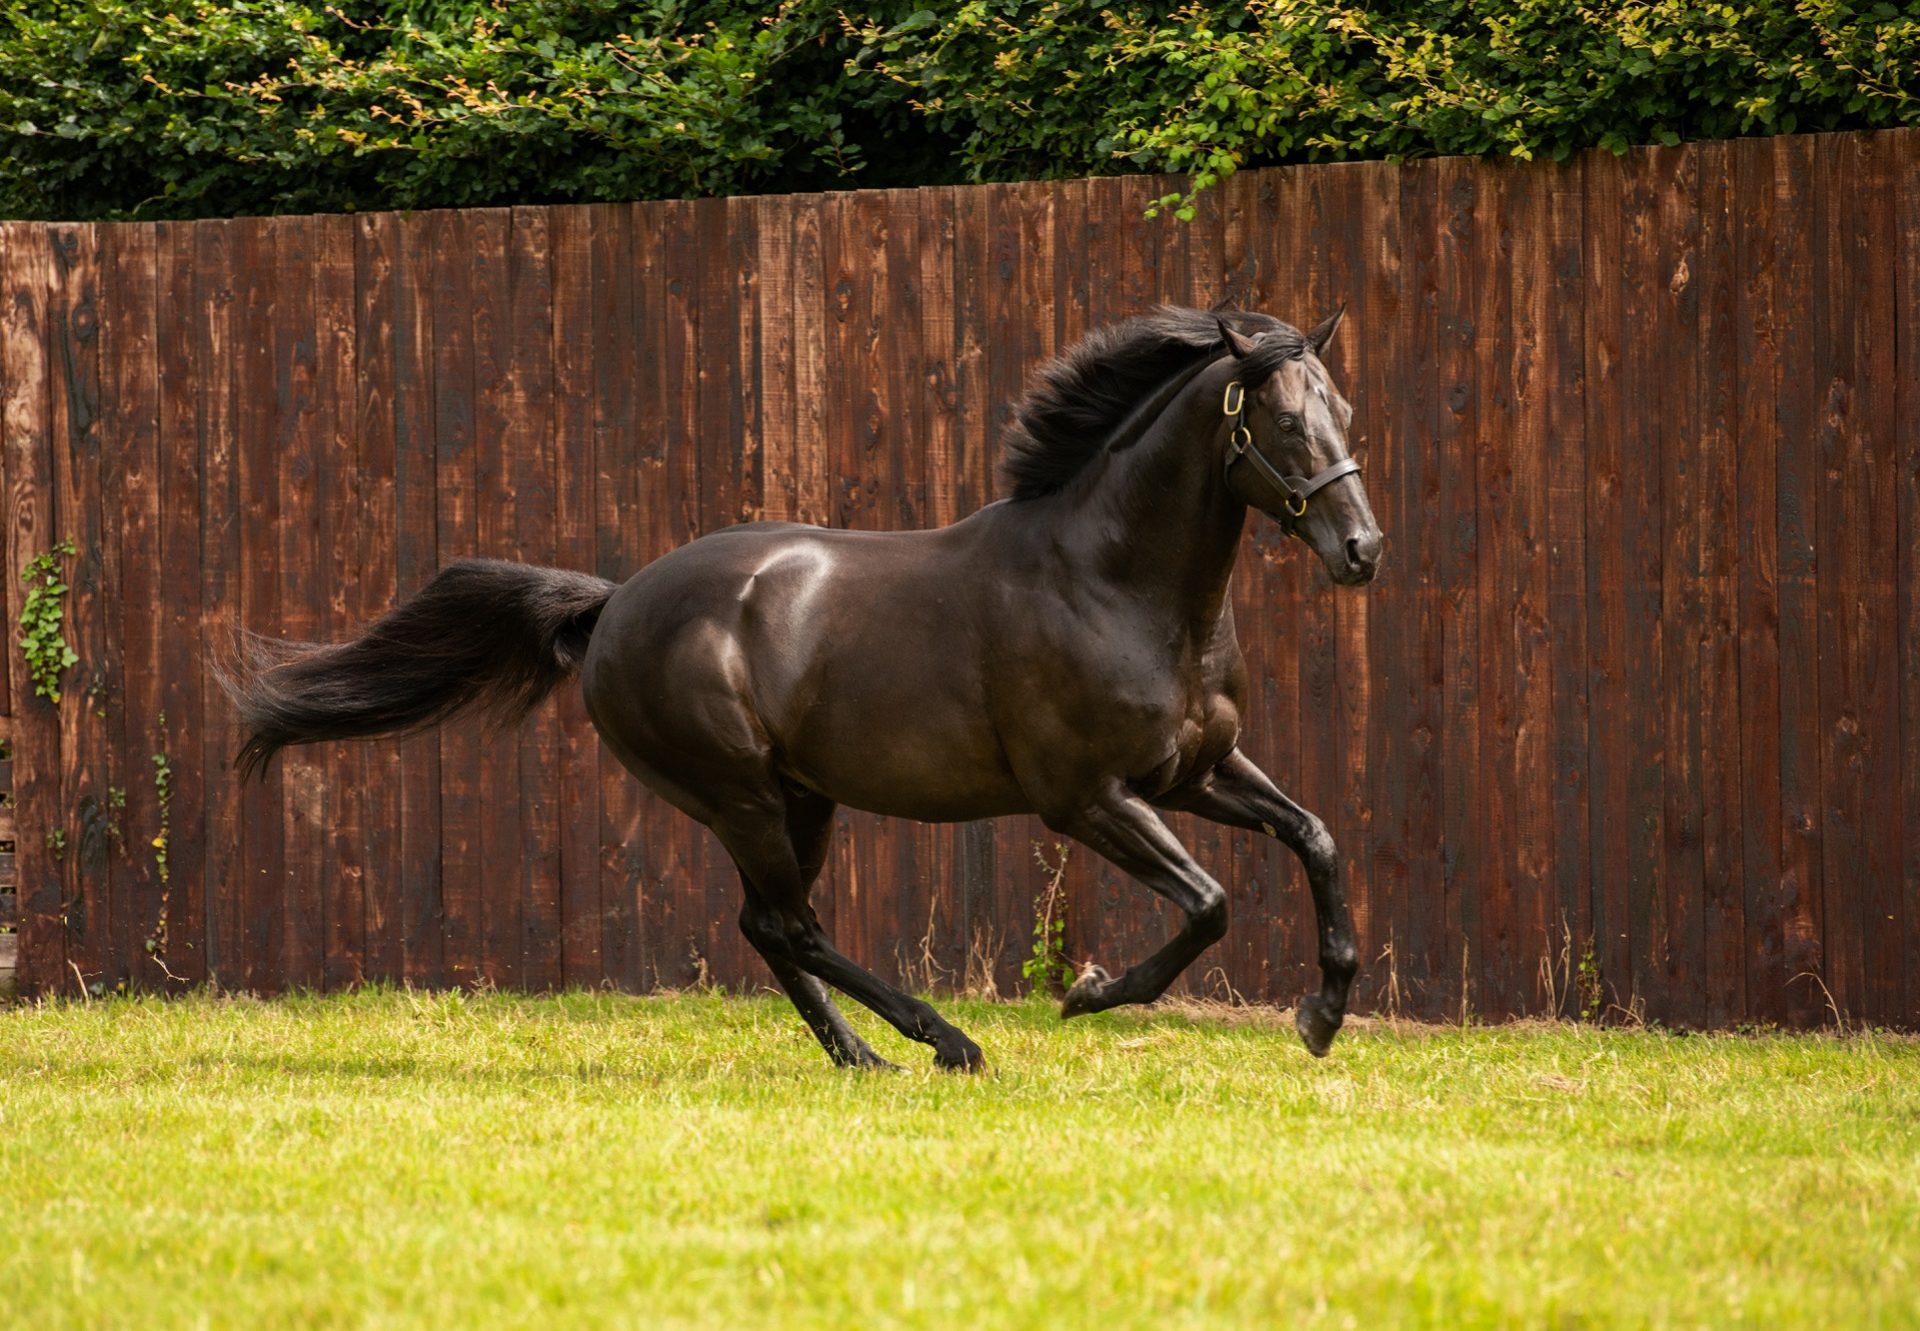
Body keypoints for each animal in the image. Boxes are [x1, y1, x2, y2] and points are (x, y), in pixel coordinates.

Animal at [232, 303, 1390, 1067]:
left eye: (1345, 406)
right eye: (1284, 422)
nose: (1362, 548)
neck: (1114, 579)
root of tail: (616, 604)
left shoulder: (1196, 769)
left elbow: (1318, 837)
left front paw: (1323, 1013)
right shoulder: (1088, 798)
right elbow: (1209, 904)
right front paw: (1092, 994)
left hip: (802, 796)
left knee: (771, 926)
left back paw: (863, 1057)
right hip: (739, 793)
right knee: (790, 925)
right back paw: (941, 1041)